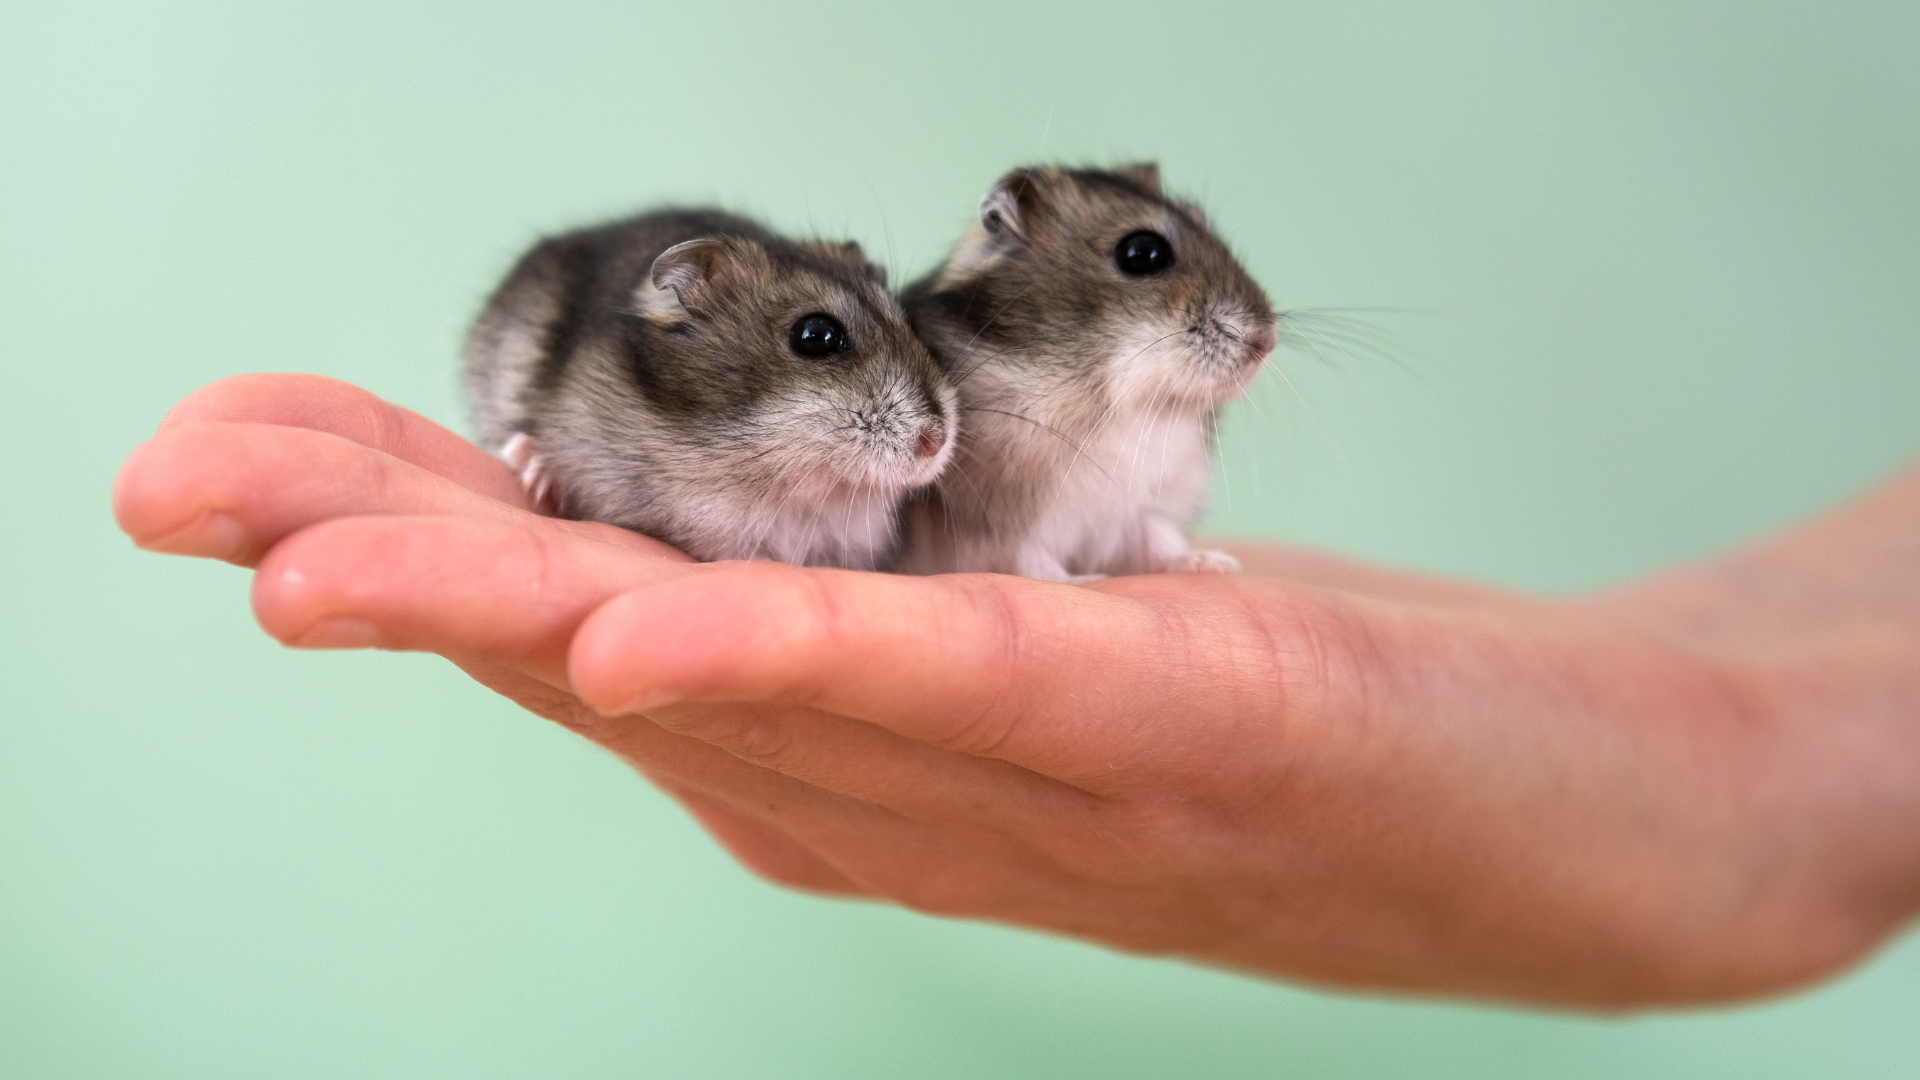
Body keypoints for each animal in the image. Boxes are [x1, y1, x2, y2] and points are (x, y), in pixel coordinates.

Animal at [892, 164, 1276, 582]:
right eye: (1143, 253)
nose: (1266, 342)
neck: (1121, 400)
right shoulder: (992, 524)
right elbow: (1030, 560)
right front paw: (1086, 580)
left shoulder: (1143, 507)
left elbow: (1160, 540)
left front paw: (1215, 563)